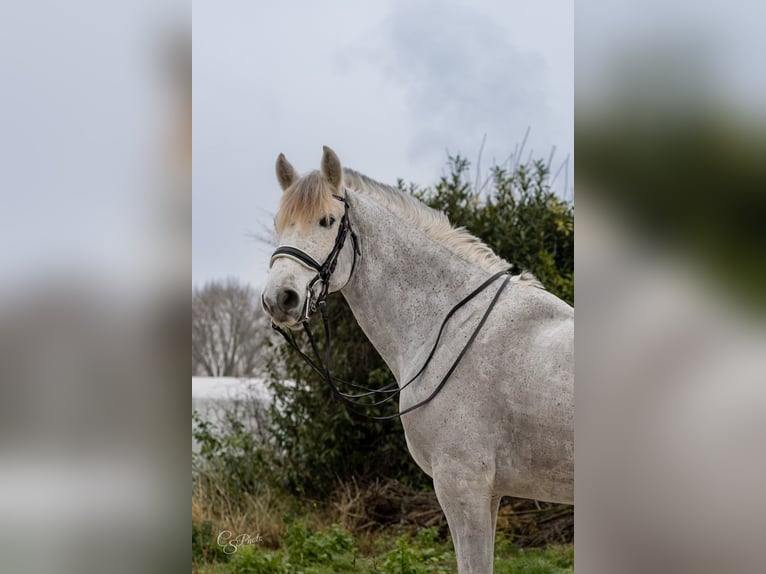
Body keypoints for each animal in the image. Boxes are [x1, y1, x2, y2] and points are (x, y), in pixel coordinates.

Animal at [260, 146, 572, 572]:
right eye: (279, 224)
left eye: (326, 221)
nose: (280, 299)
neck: (453, 327)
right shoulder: (487, 493)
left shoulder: (463, 486)